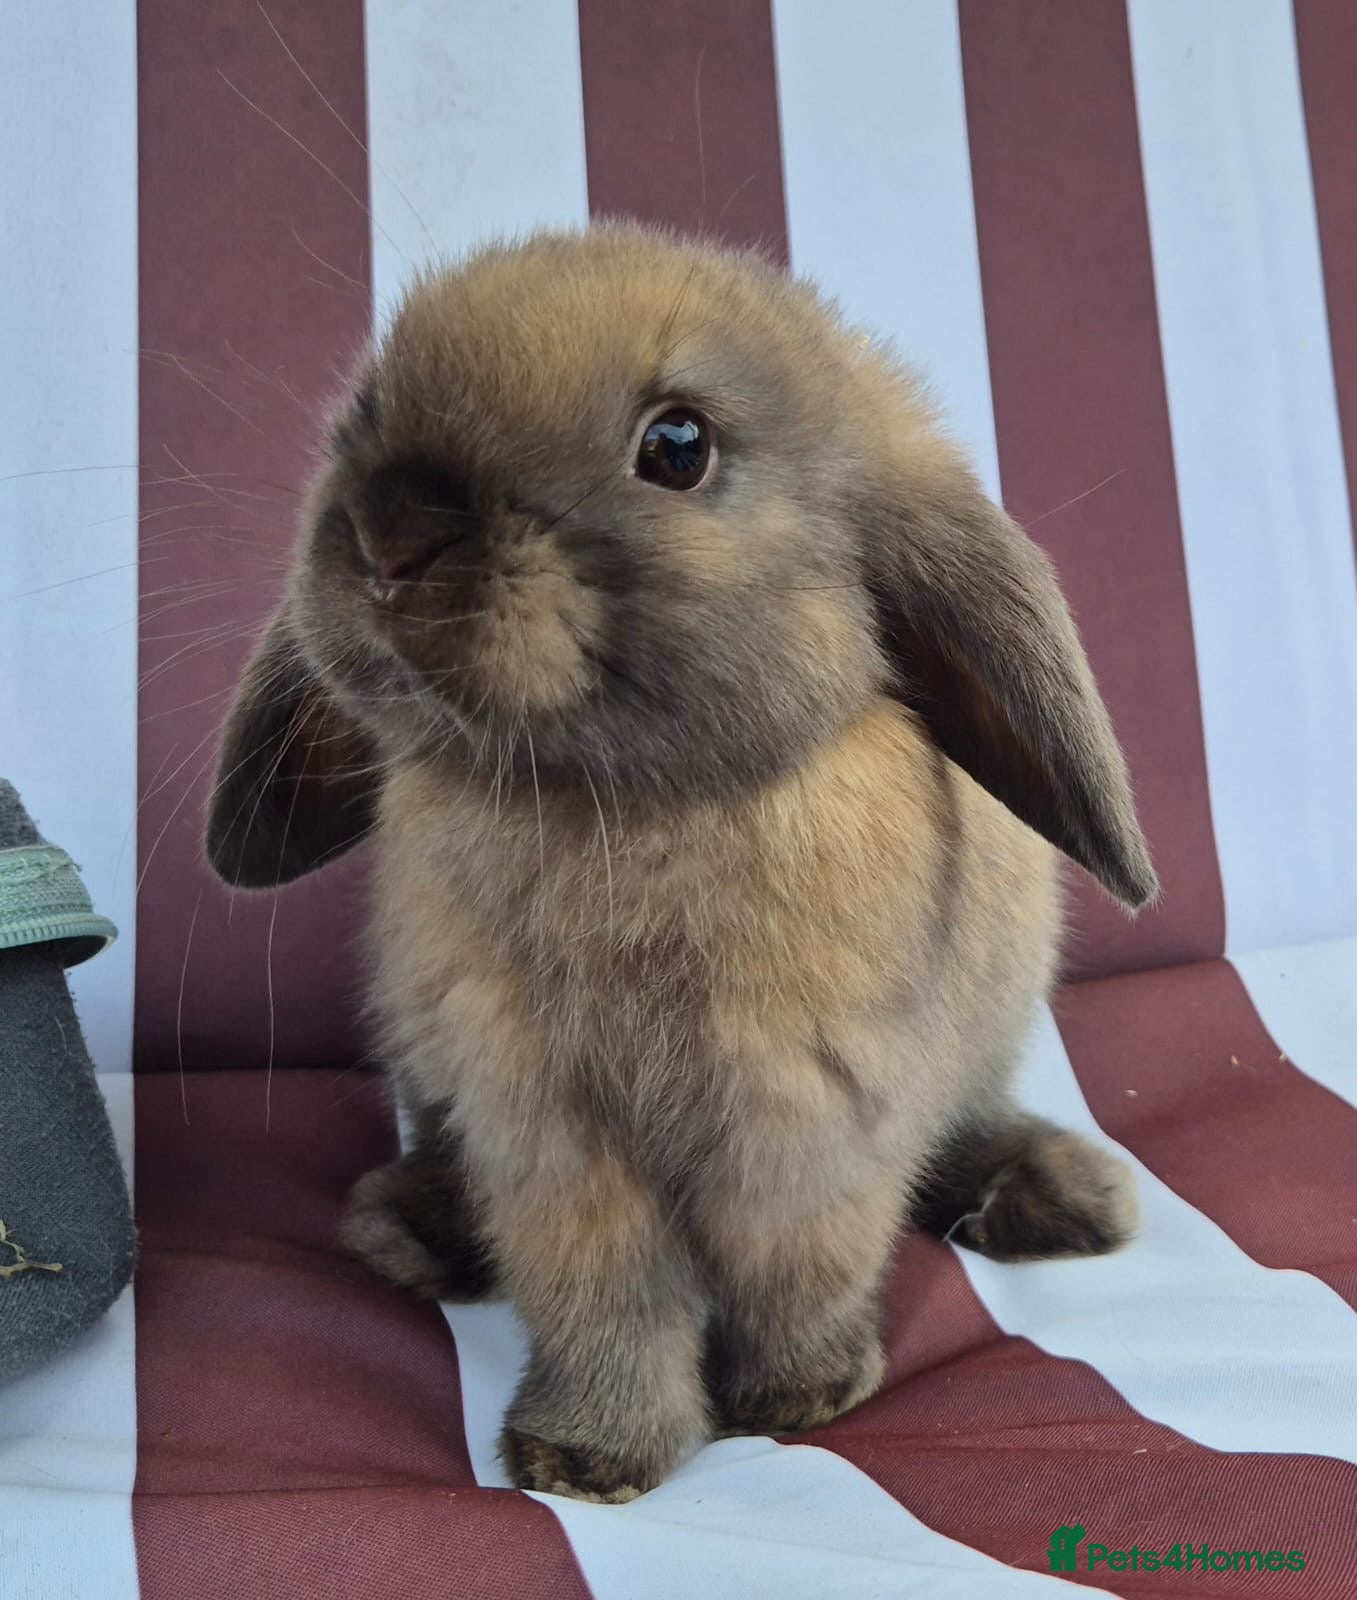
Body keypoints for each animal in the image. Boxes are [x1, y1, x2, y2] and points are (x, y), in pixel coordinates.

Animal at [205, 224, 1156, 1504]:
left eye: (677, 446)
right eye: (365, 405)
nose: (391, 534)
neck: (629, 804)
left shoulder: (814, 1112)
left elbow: (797, 1259)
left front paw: (803, 1392)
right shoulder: (547, 1127)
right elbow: (604, 1289)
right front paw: (586, 1457)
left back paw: (1060, 1195)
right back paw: (409, 1229)